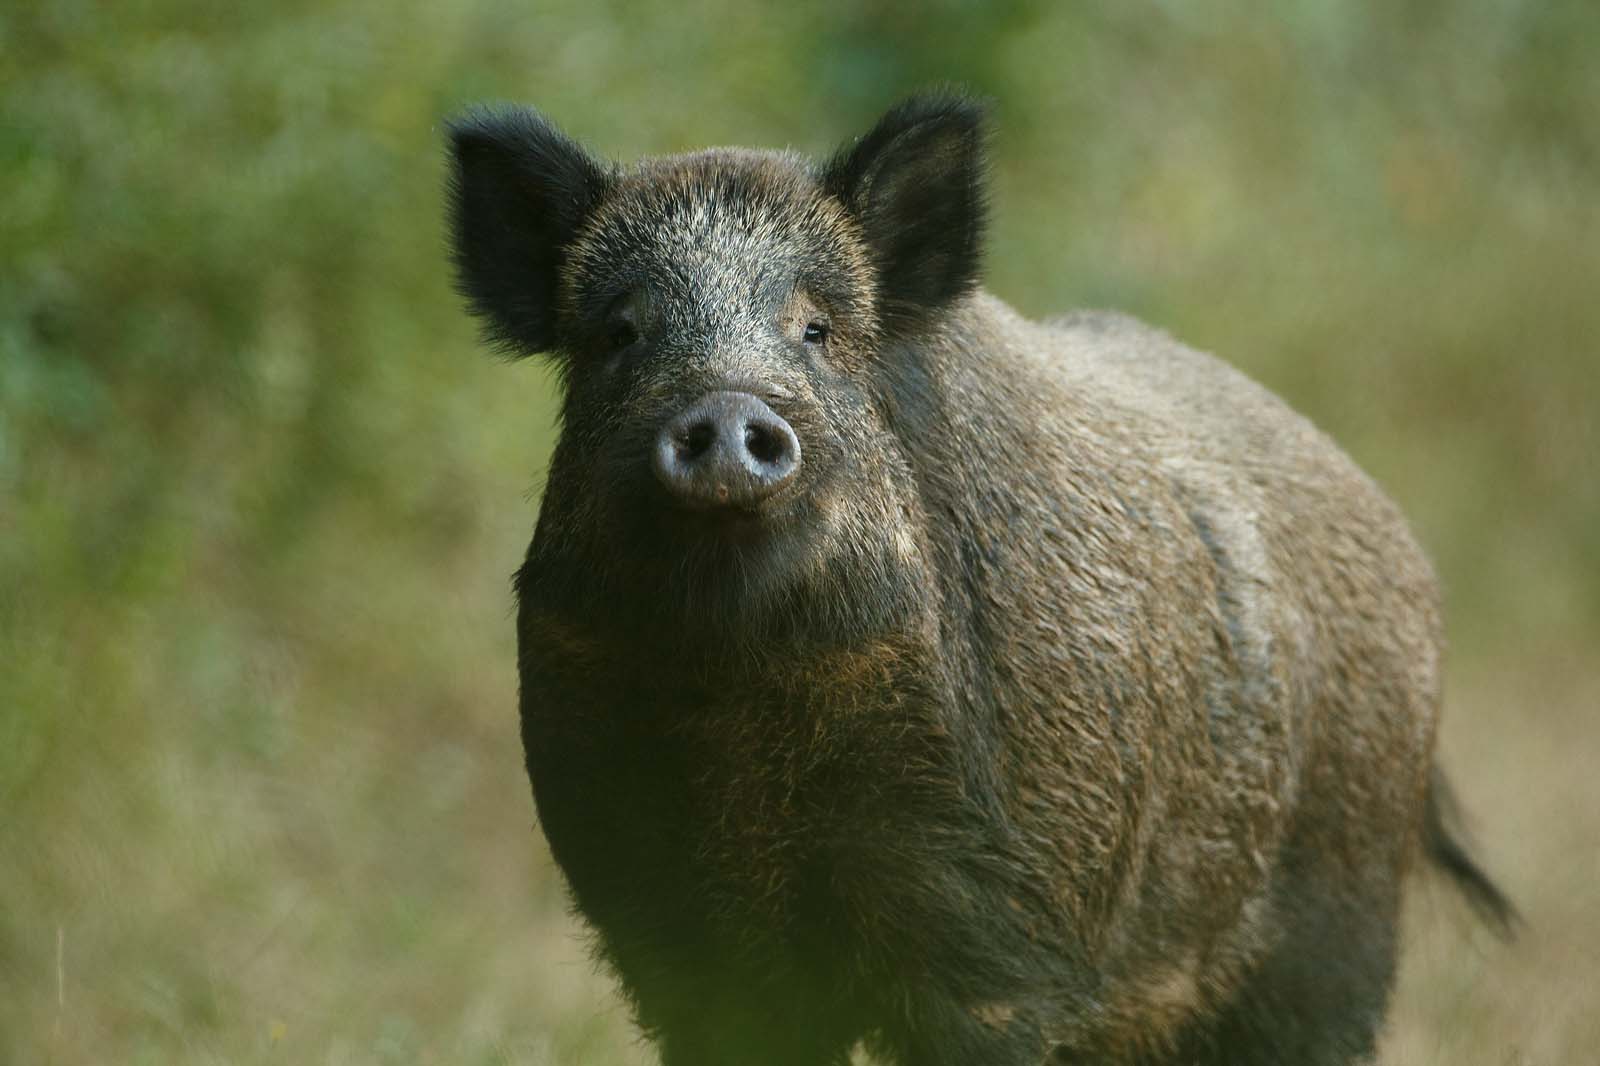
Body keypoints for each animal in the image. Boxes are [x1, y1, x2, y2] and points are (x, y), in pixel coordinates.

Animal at [445, 92, 1513, 1066]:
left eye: (817, 329)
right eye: (619, 333)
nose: (726, 412)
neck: (740, 710)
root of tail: (1401, 543)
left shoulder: (996, 937)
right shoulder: (667, 926)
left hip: (1336, 927)